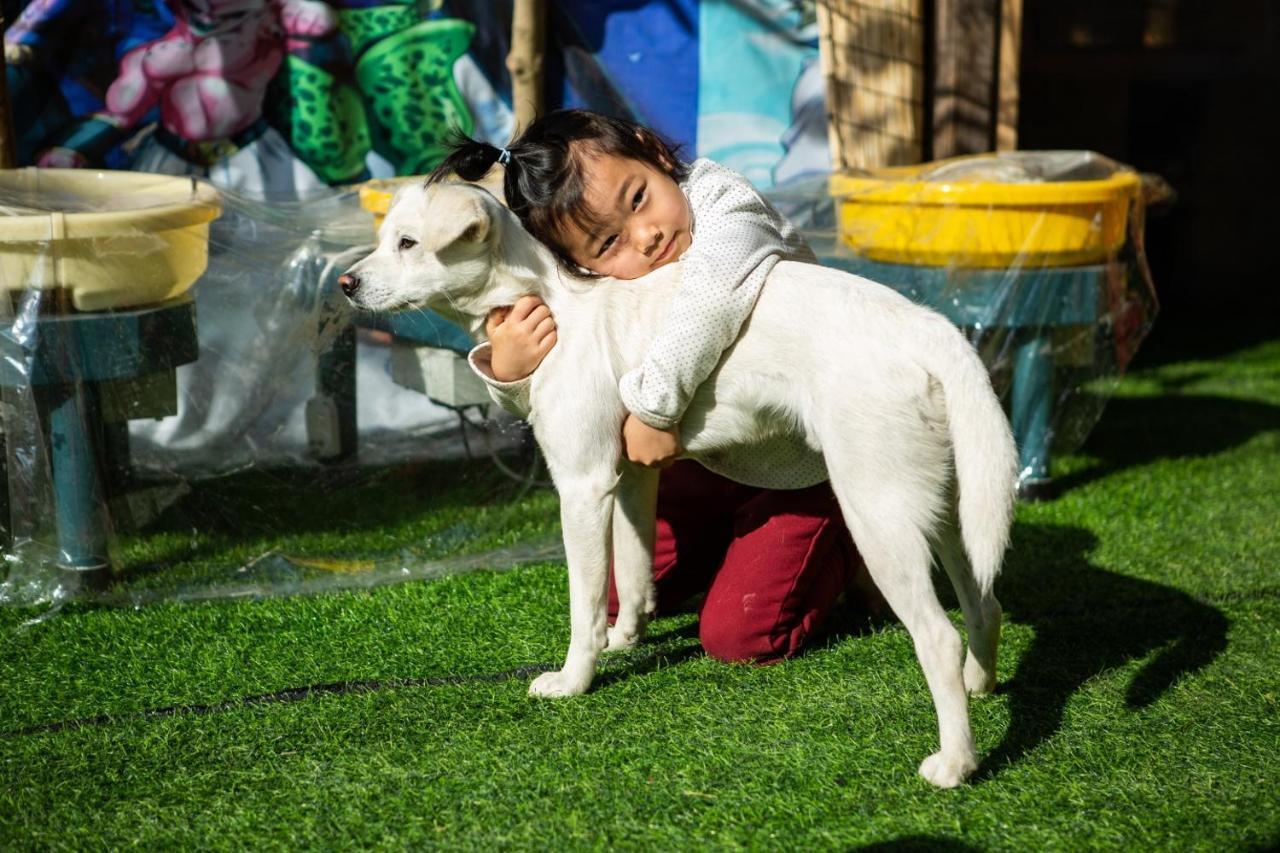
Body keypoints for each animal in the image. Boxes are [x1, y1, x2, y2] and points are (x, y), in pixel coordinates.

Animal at [340, 179, 1018, 783]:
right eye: (383, 239)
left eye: (407, 243)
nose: (345, 284)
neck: (555, 301)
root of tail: (926, 325)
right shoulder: (634, 478)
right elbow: (634, 571)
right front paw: (626, 639)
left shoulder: (582, 486)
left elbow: (584, 606)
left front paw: (575, 680)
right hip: (948, 511)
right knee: (984, 603)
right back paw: (981, 686)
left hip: (878, 515)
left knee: (938, 637)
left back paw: (955, 764)